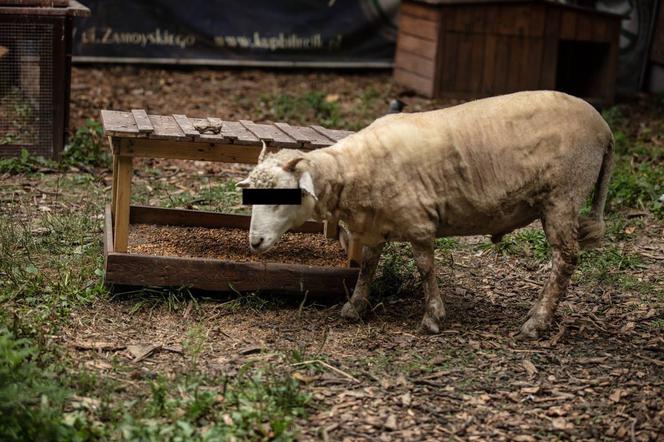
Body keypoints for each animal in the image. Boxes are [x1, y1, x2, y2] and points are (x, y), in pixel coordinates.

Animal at [237, 90, 612, 338]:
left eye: (281, 198)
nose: (254, 242)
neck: (355, 167)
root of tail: (604, 127)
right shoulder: (374, 224)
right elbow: (368, 265)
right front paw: (356, 306)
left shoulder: (418, 221)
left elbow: (425, 268)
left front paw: (432, 316)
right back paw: (537, 312)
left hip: (564, 194)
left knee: (565, 259)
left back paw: (537, 322)